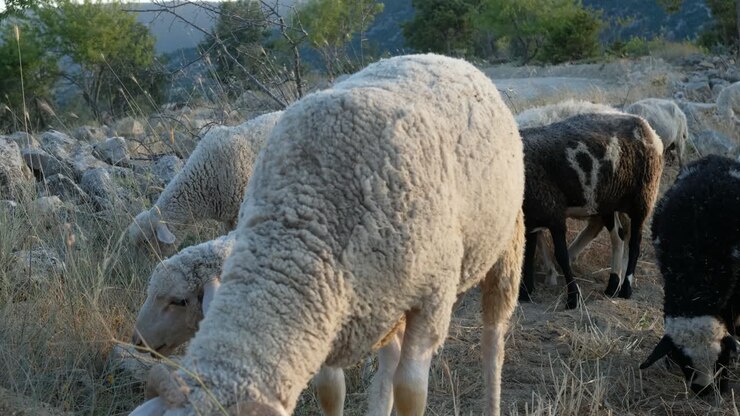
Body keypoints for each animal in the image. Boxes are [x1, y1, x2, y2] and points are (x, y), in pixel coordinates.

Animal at [519, 113, 664, 309]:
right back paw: (612, 287)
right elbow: (528, 253)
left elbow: (561, 255)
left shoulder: (553, 210)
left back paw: (626, 289)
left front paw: (573, 299)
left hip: (643, 196)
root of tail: (648, 127)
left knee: (634, 244)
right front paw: (525, 293)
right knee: (618, 237)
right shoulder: (532, 216)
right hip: (607, 202)